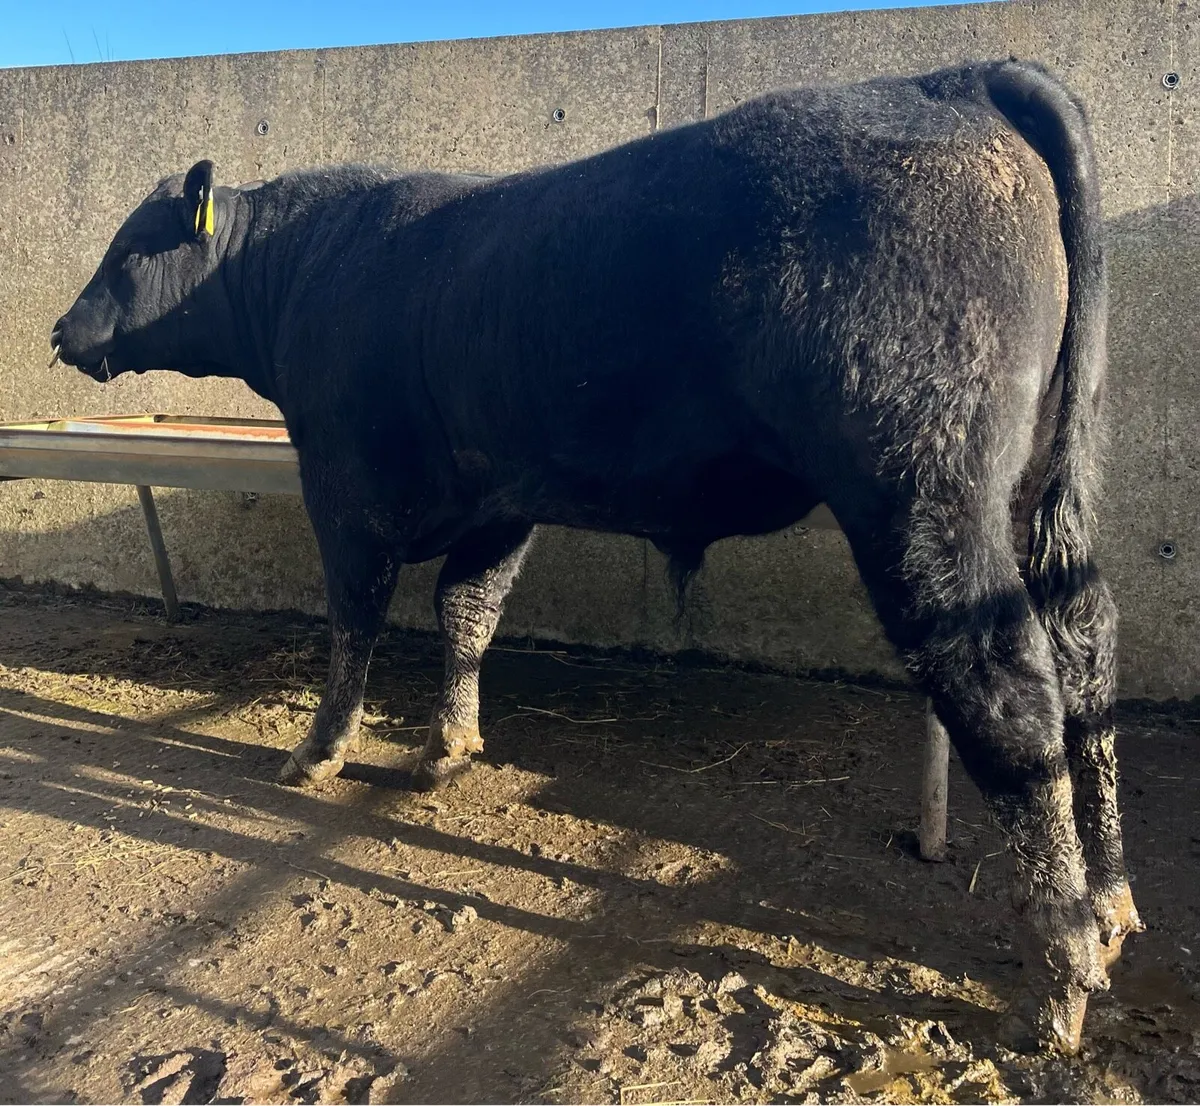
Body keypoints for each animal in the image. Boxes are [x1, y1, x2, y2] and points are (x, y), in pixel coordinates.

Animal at [50, 59, 1139, 1053]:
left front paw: (318, 751)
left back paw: (1059, 977)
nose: (61, 329)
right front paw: (448, 747)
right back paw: (1113, 903)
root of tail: (954, 78)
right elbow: (467, 611)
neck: (309, 267)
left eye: (129, 247)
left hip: (922, 491)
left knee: (1007, 690)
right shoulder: (502, 494)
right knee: (1086, 648)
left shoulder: (345, 484)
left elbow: (356, 620)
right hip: (1047, 478)